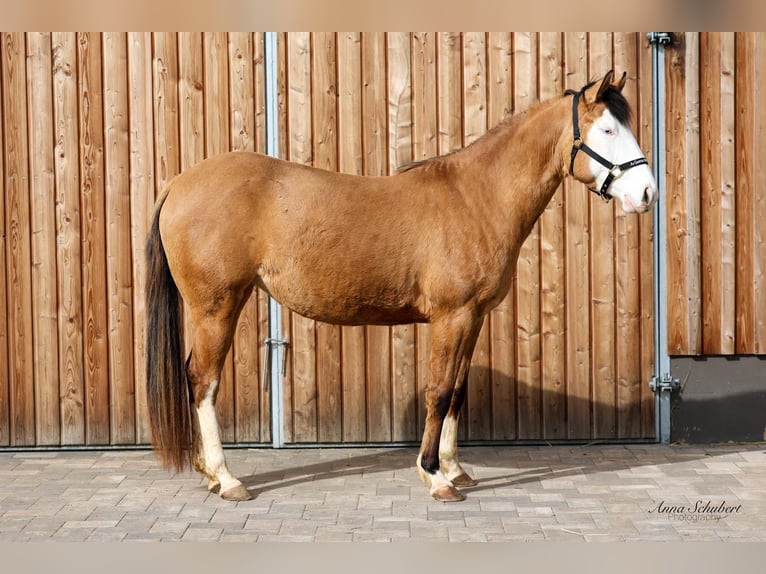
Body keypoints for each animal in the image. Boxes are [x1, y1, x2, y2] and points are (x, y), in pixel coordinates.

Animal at [145, 70, 657, 503]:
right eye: (607, 130)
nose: (647, 194)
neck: (476, 198)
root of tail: (178, 183)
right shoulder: (451, 317)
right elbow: (438, 391)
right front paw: (434, 475)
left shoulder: (473, 319)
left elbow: (457, 393)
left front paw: (454, 469)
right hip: (216, 307)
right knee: (203, 382)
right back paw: (226, 478)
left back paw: (209, 473)